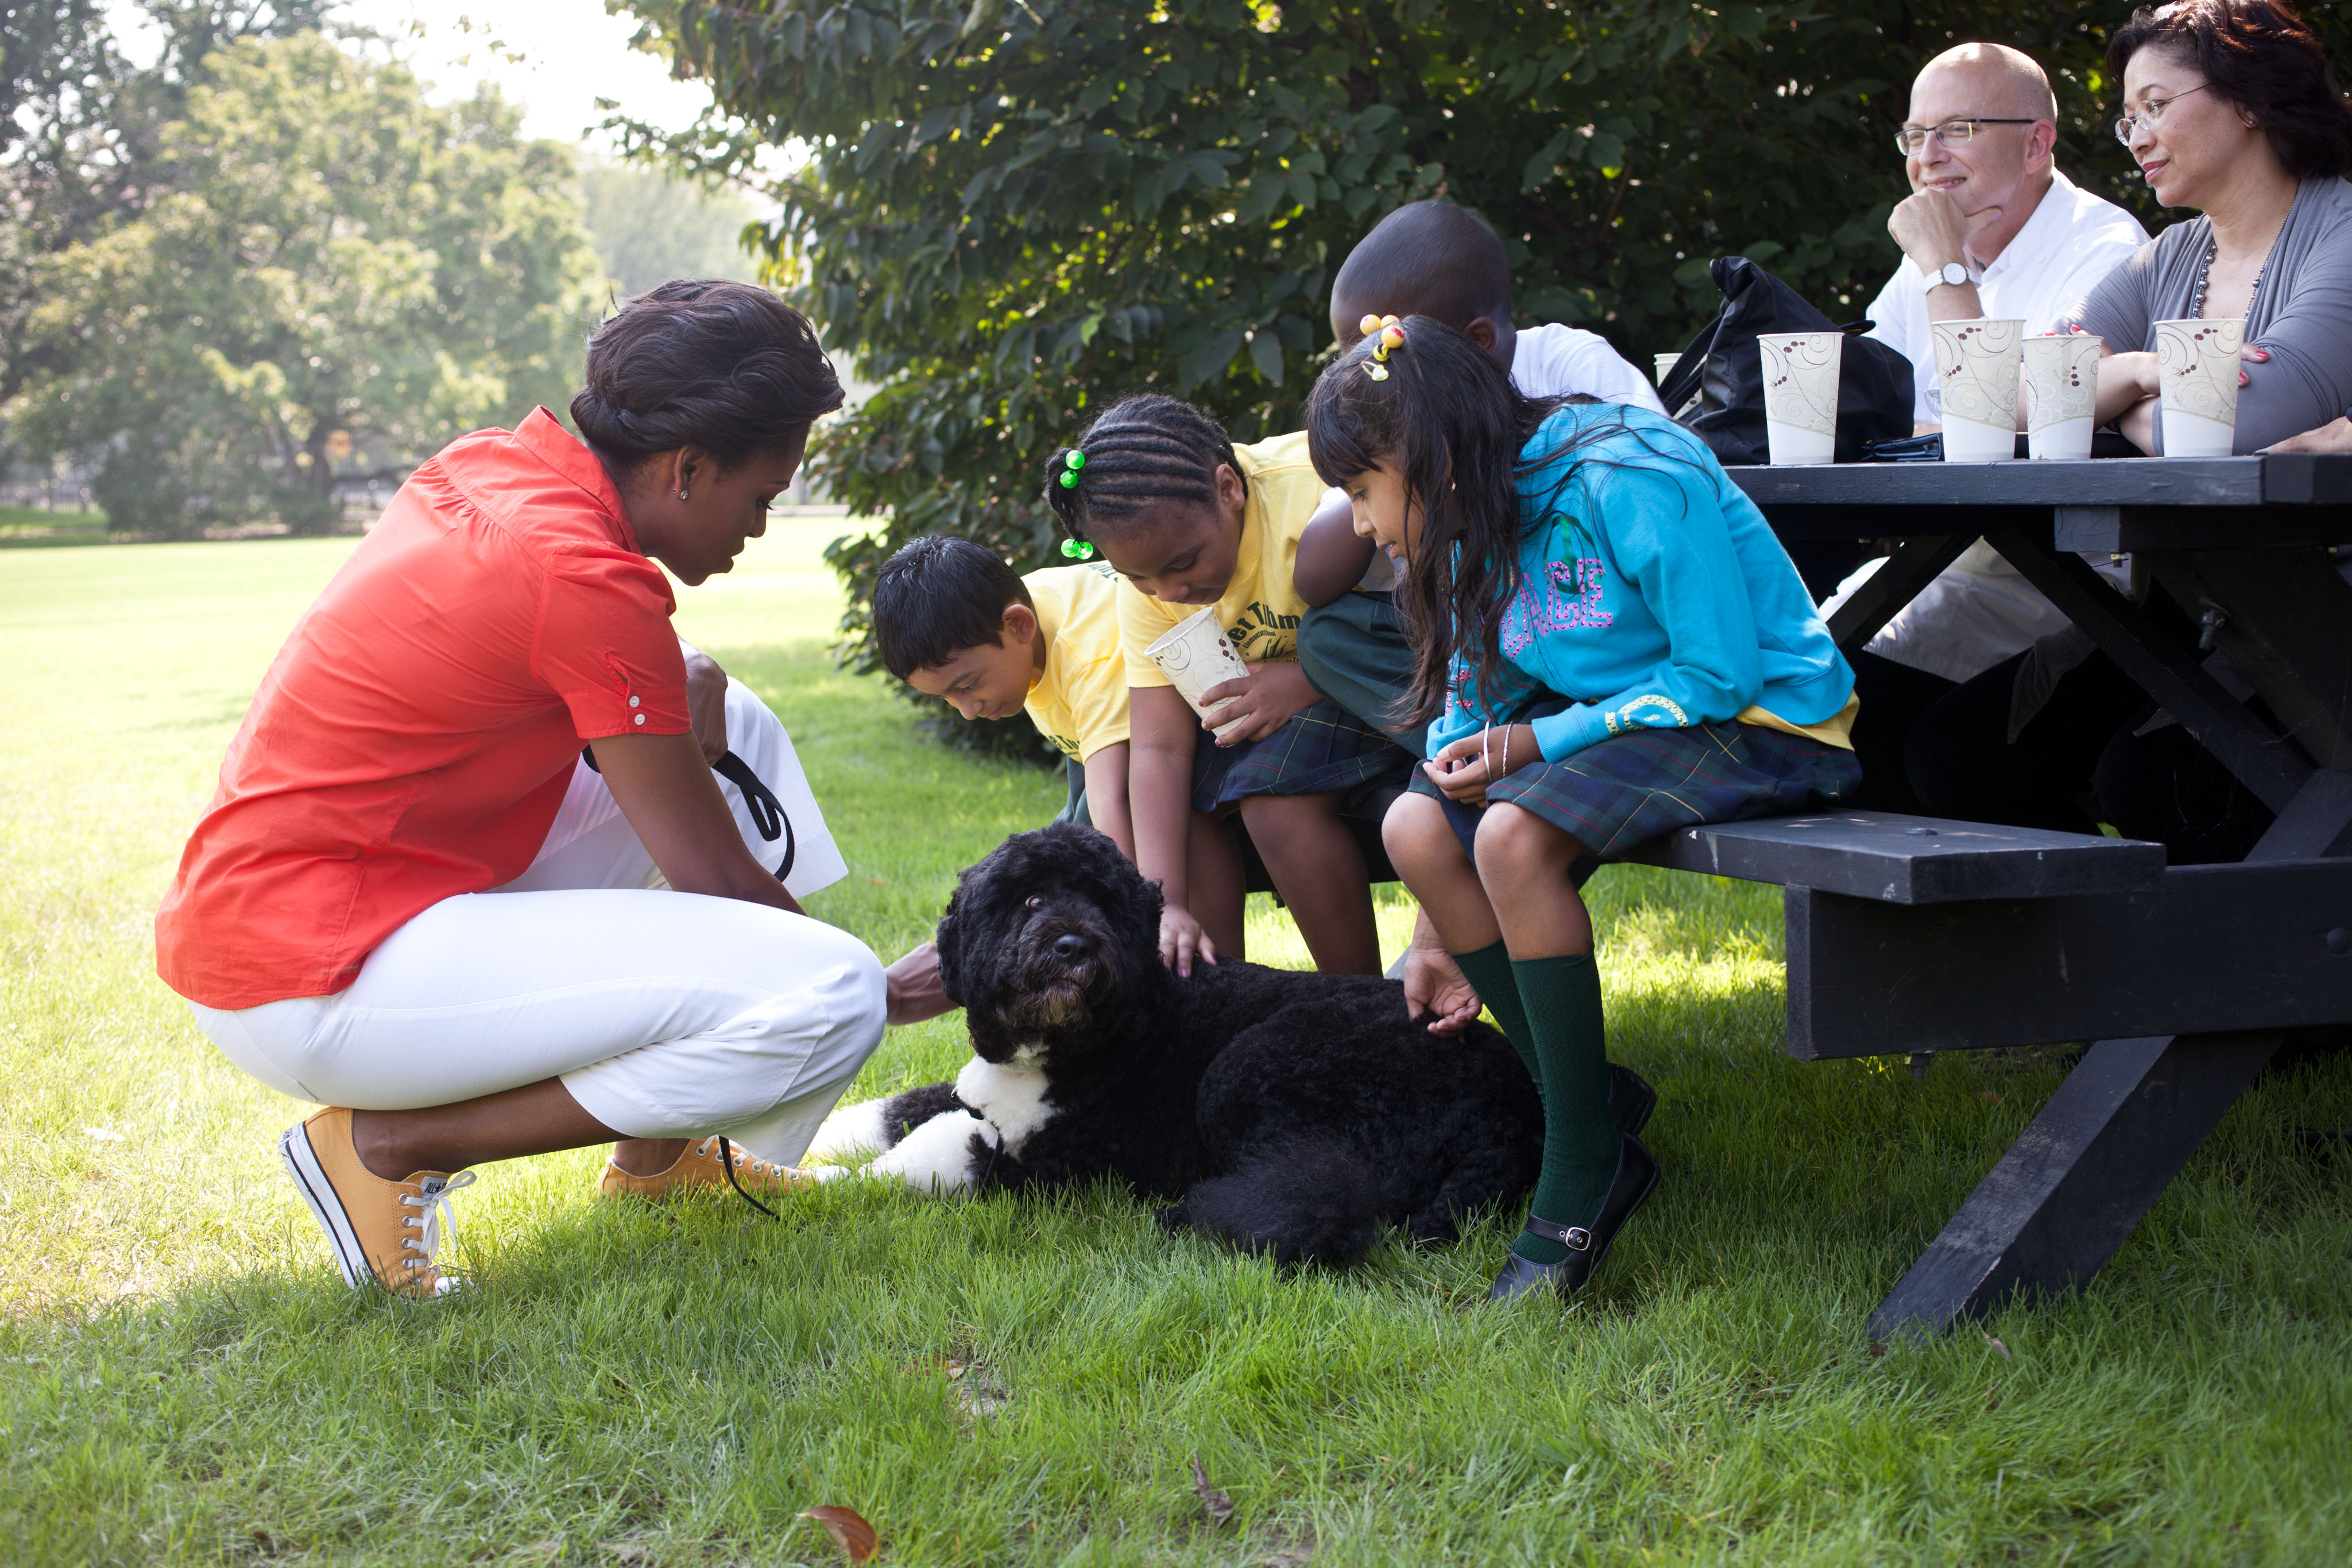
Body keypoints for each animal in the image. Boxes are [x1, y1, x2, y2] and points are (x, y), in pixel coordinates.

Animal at [809, 827, 1542, 1269]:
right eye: (1032, 897)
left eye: (1107, 904)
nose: (1074, 946)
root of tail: (1518, 1112)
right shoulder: (973, 1095)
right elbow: (887, 1110)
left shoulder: (1054, 1160)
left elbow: (919, 1157)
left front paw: (813, 1186)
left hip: (1254, 1067)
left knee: (1324, 1201)